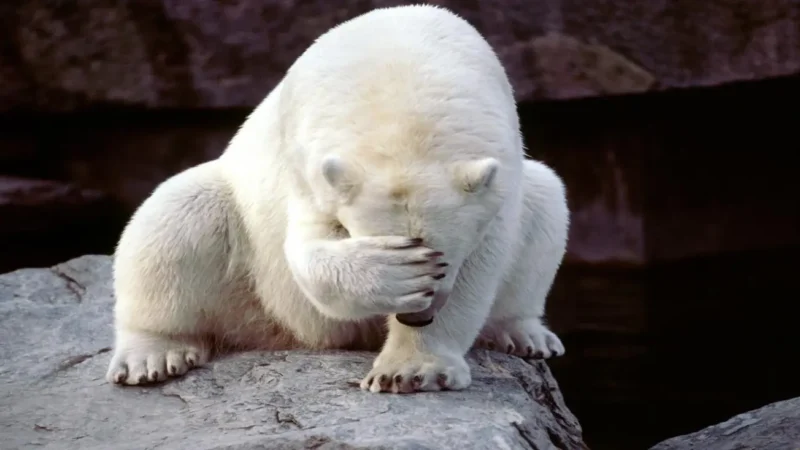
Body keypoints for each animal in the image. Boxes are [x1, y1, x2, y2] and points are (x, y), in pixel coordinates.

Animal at [105, 4, 569, 394]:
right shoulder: (307, 162)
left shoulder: (500, 173)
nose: (416, 316)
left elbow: (484, 262)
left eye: (444, 259)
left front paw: (411, 370)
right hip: (244, 269)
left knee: (546, 200)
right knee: (176, 214)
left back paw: (523, 333)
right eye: (411, 251)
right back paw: (152, 355)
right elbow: (307, 249)